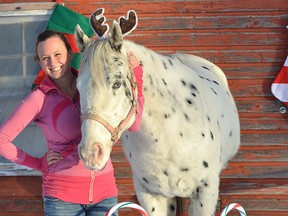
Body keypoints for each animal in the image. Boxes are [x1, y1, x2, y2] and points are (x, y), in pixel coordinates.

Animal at [73, 8, 241, 216]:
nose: (90, 153)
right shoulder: (150, 193)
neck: (171, 134)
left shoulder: (205, 192)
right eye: (77, 86)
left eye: (117, 83)